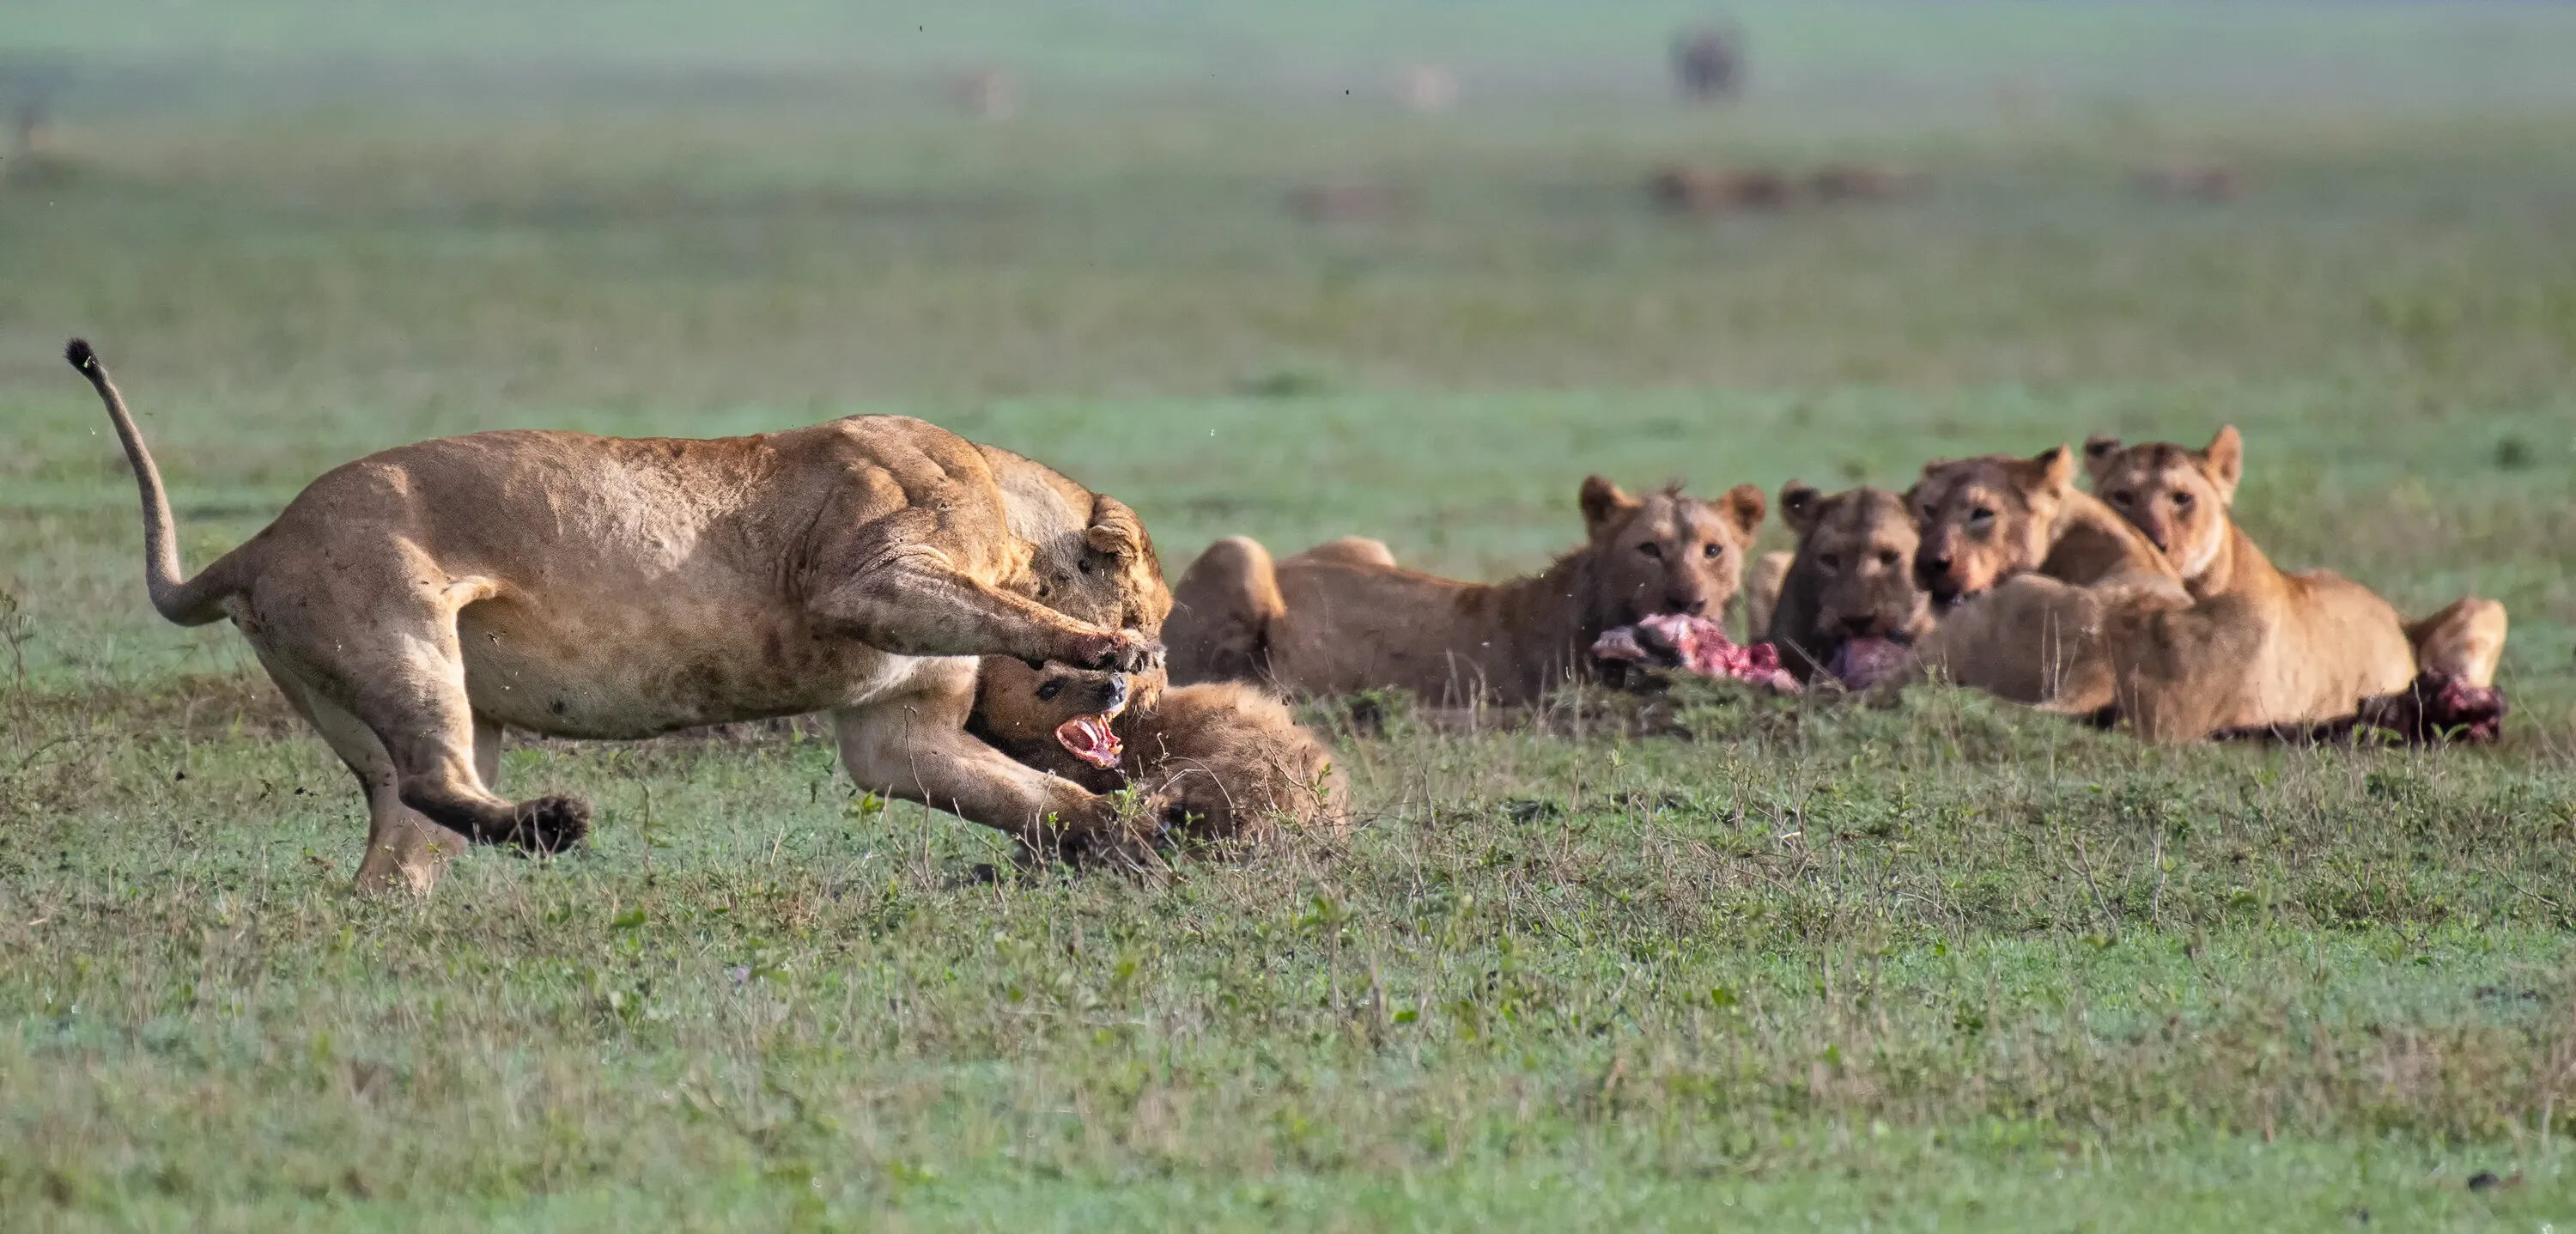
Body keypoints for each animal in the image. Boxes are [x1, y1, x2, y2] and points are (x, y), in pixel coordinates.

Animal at [68, 339, 1168, 893]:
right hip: (399, 639)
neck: (1011, 505)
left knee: (397, 837)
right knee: (429, 782)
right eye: (1158, 622)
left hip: (400, 707)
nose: (1149, 691)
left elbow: (1029, 795)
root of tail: (257, 544)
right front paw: (1096, 645)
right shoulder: (869, 574)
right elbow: (1000, 611)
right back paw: (556, 824)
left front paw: (1132, 840)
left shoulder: (896, 734)